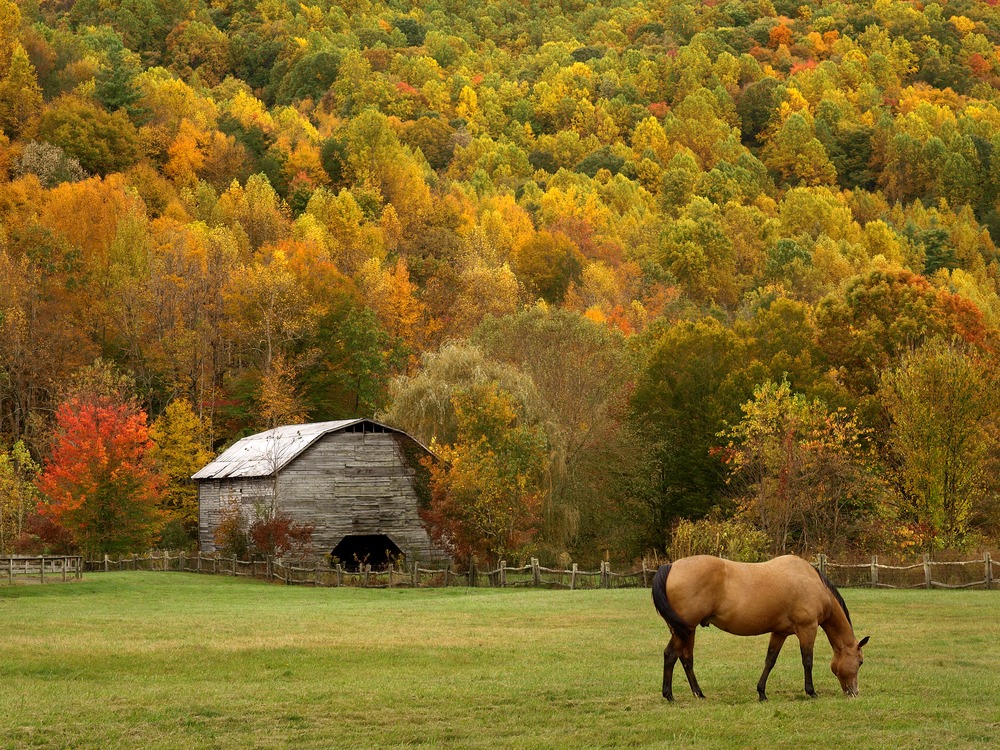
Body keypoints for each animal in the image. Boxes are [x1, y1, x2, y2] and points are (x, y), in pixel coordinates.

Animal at [652, 554, 869, 701]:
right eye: (860, 662)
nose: (854, 692)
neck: (811, 582)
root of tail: (671, 566)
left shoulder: (780, 632)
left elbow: (770, 661)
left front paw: (762, 692)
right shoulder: (808, 629)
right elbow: (807, 661)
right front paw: (811, 691)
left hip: (685, 630)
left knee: (685, 659)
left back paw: (698, 693)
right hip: (685, 630)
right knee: (671, 655)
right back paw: (669, 695)